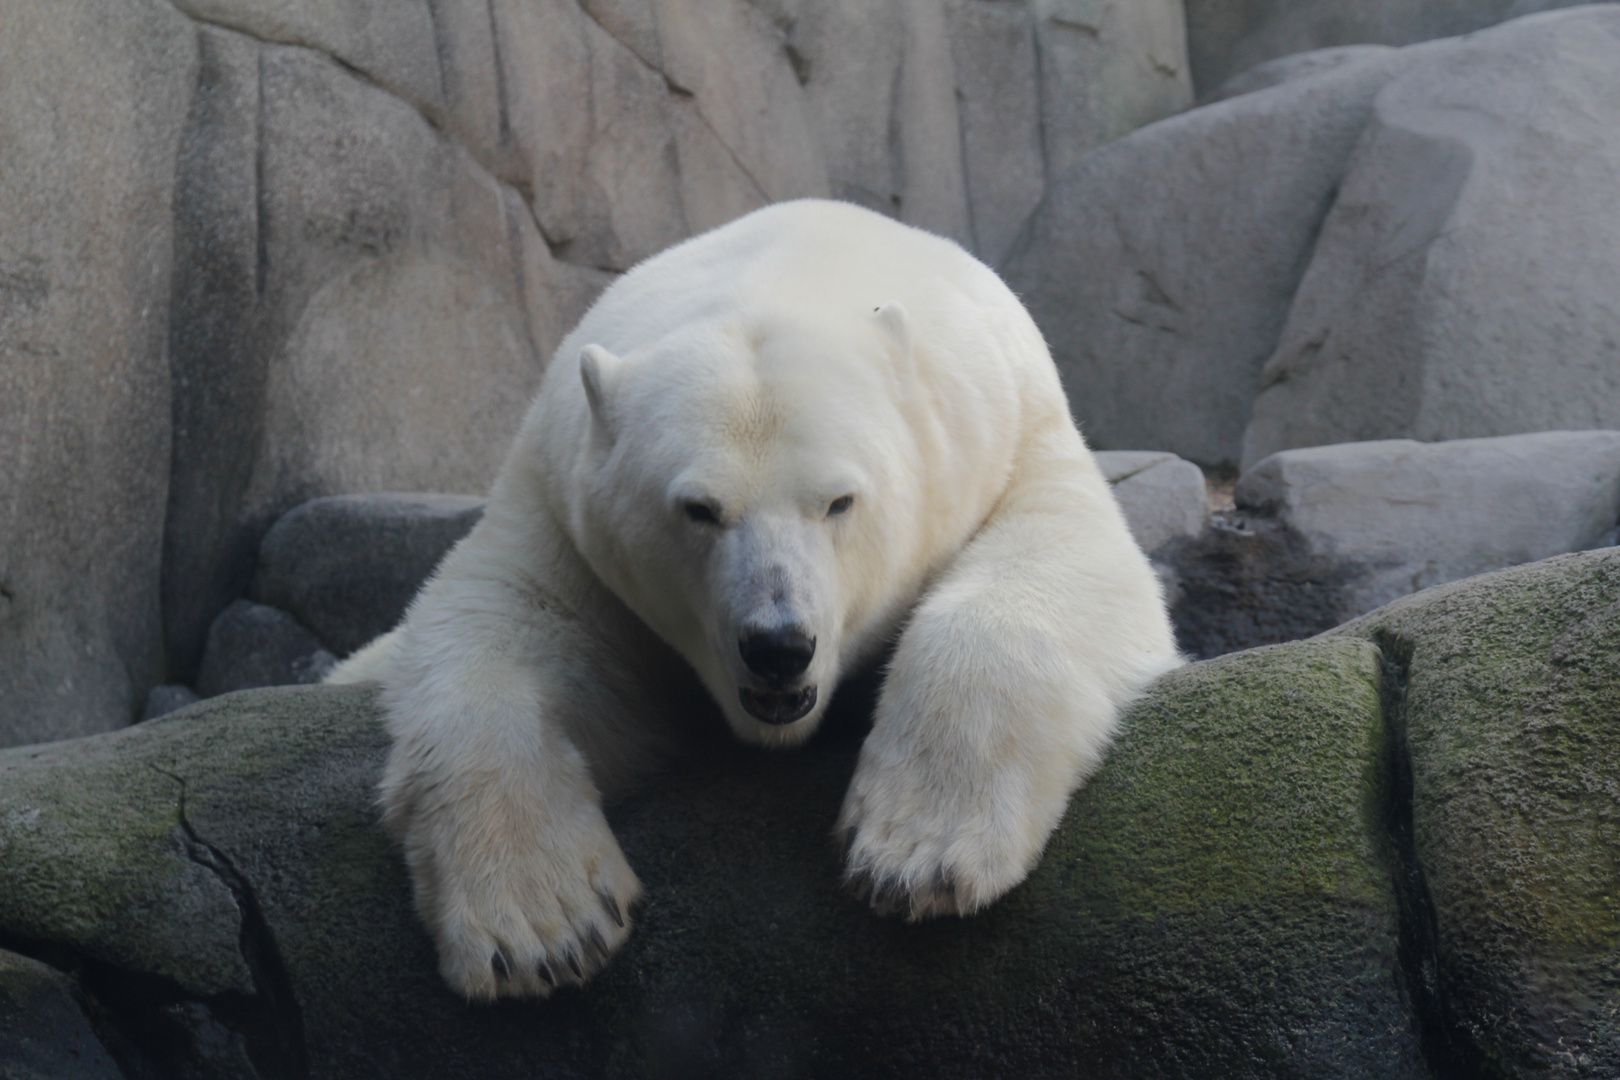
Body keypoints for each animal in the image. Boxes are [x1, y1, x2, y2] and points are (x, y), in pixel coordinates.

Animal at [332, 198, 1192, 1003]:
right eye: (698, 509)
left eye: (840, 501)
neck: (792, 265)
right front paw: (539, 930)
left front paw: (917, 855)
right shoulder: (562, 513)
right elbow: (502, 634)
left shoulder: (1007, 439)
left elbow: (1054, 564)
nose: (779, 645)